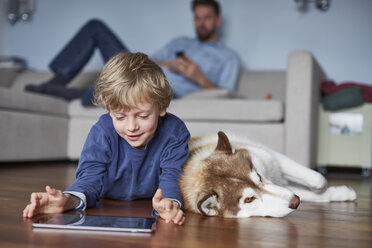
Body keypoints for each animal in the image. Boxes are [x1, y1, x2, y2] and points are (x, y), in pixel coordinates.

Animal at [180, 132, 358, 217]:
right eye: (249, 199)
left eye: (259, 177)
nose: (295, 201)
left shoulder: (273, 158)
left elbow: (318, 178)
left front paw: (331, 191)